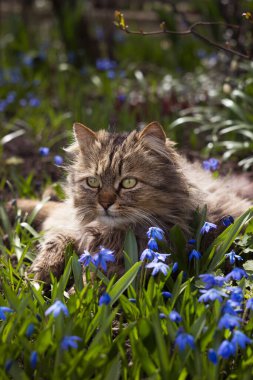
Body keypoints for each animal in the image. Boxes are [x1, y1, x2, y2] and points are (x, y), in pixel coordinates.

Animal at [8, 121, 252, 282]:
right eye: (93, 182)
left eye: (128, 183)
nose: (105, 203)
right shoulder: (71, 226)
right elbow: (56, 241)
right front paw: (38, 274)